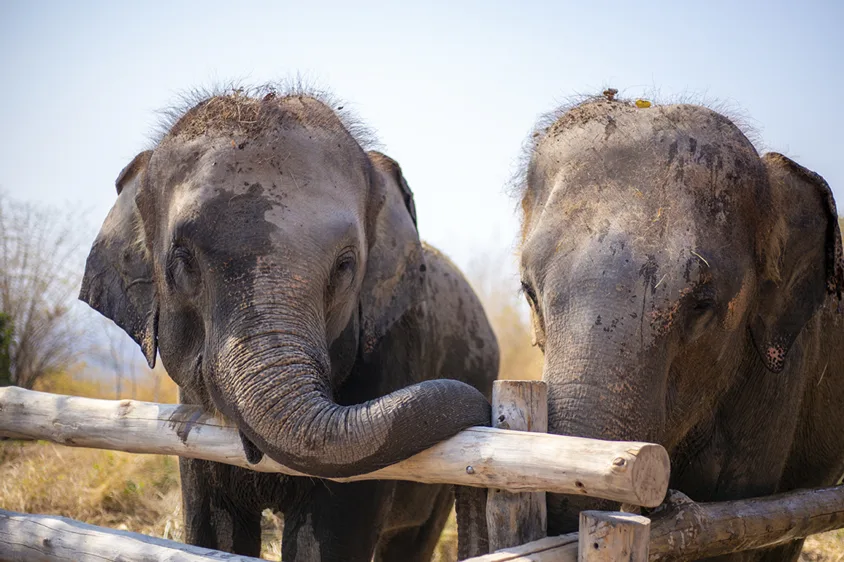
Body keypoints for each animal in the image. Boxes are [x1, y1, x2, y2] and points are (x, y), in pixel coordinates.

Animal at [79, 87, 499, 561]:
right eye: (182, 260)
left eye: (346, 265)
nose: (483, 405)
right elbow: (214, 534)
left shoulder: (388, 360)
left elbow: (327, 540)